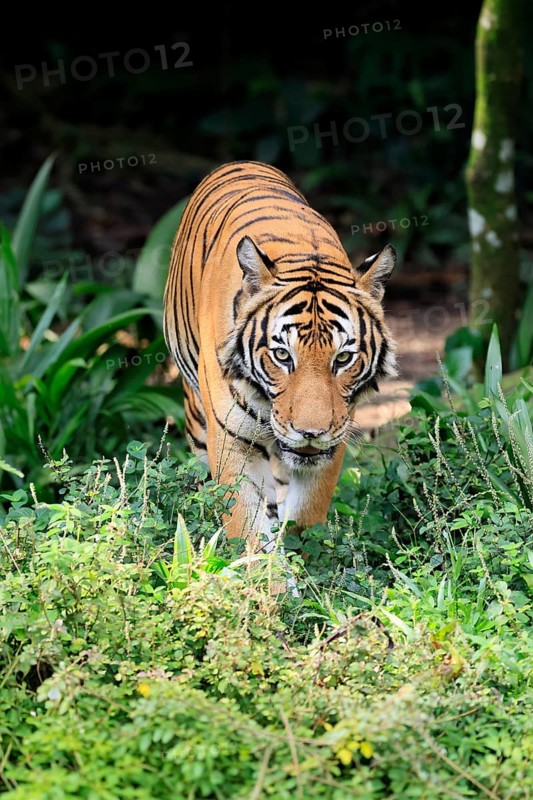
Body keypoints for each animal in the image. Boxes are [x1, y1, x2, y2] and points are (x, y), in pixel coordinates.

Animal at [163, 160, 397, 557]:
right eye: (282, 355)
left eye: (343, 358)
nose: (310, 433)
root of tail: (241, 162)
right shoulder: (231, 441)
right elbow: (247, 530)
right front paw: (263, 573)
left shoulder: (333, 441)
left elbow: (304, 519)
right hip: (196, 416)